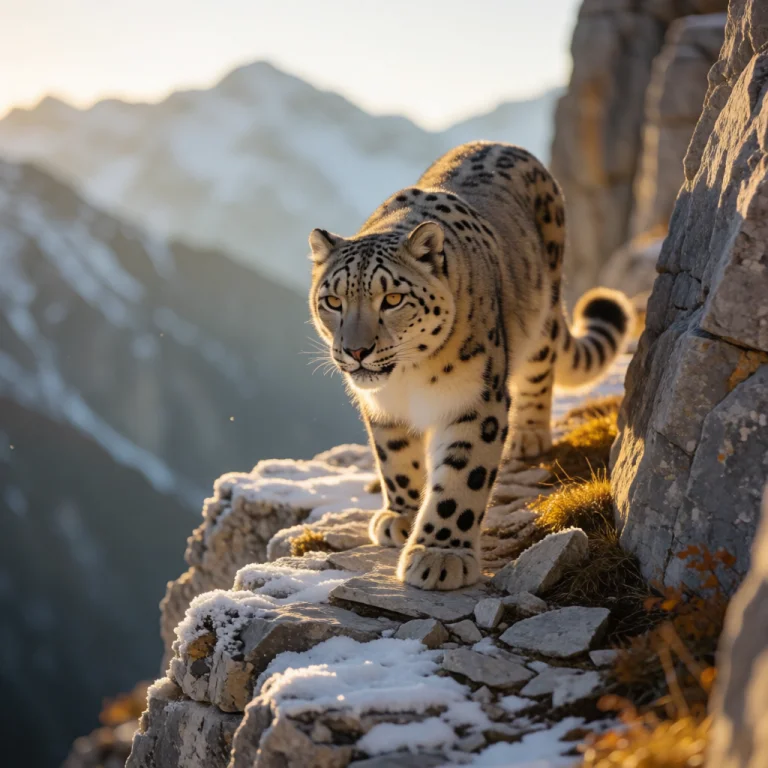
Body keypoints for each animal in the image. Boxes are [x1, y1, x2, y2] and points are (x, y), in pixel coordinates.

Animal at [308, 141, 634, 591]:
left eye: (392, 299)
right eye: (333, 301)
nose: (356, 350)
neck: (407, 379)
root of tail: (501, 144)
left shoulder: (476, 402)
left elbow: (462, 478)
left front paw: (439, 555)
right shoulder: (383, 407)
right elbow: (395, 457)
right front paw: (402, 515)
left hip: (541, 315)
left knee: (541, 369)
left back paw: (529, 436)